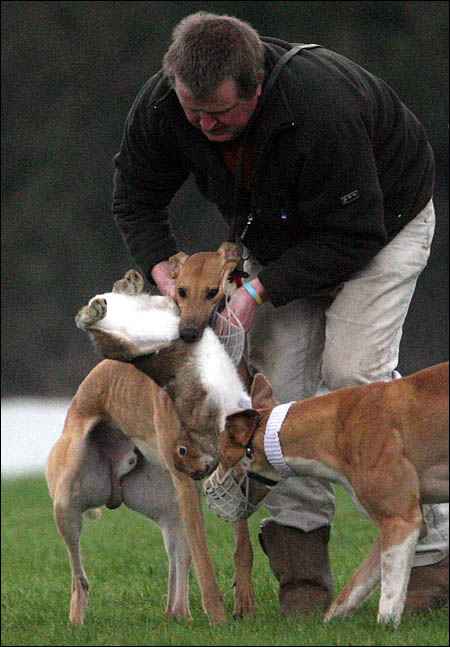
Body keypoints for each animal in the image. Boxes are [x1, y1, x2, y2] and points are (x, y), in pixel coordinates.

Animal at [174, 362, 448, 624]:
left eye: (221, 455)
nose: (199, 479)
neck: (336, 426)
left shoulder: (401, 520)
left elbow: (390, 595)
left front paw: (386, 626)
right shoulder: (397, 526)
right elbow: (354, 587)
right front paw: (328, 622)